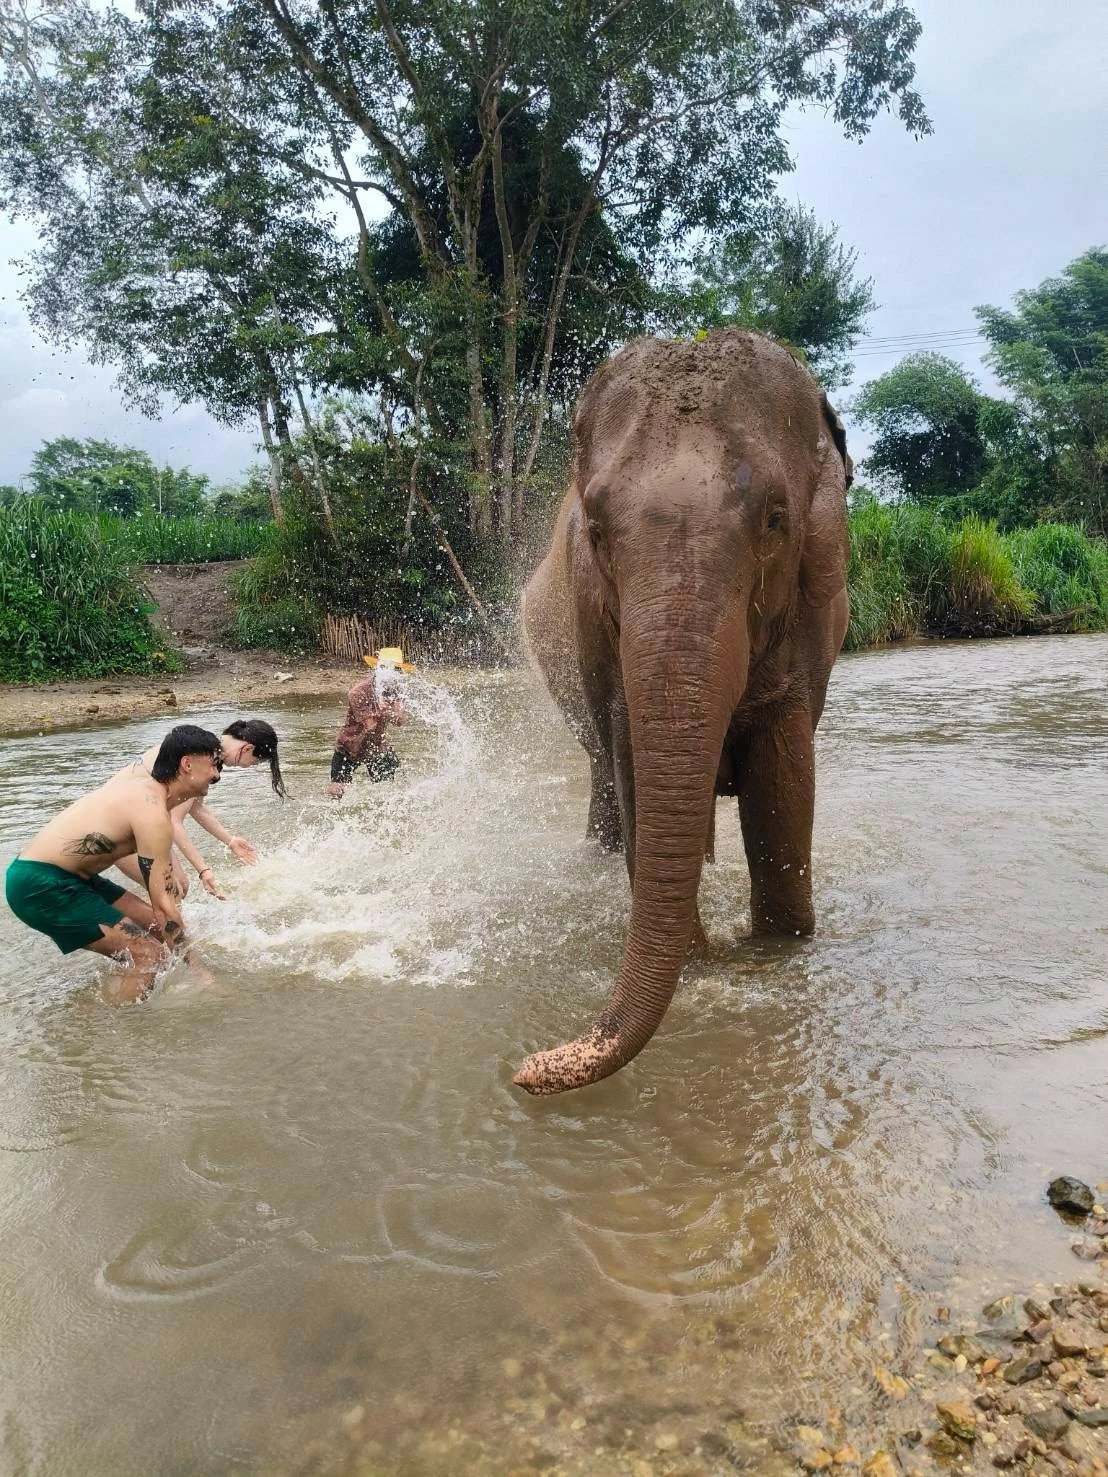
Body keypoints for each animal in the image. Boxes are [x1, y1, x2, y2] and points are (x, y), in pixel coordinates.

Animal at [514, 328, 852, 1096]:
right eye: (596, 530)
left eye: (776, 520)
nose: (525, 1068)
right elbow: (636, 763)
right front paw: (703, 964)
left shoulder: (809, 621)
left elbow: (783, 782)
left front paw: (779, 950)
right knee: (606, 776)